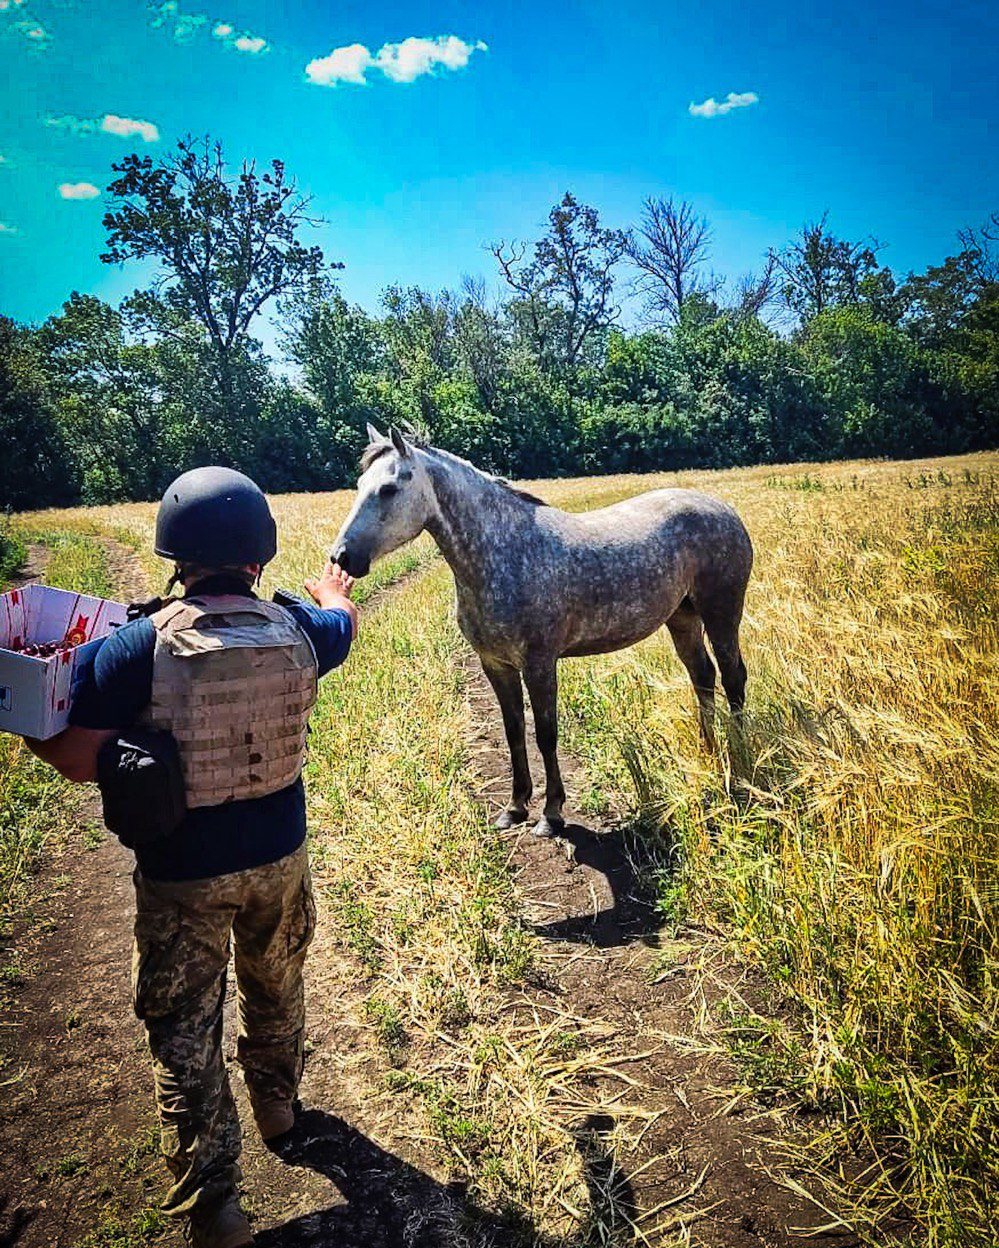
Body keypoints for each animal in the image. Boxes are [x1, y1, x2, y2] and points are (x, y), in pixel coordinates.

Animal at [332, 426, 754, 838]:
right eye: (360, 483)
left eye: (389, 488)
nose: (341, 557)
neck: (504, 553)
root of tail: (724, 509)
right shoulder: (496, 665)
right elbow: (514, 730)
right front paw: (515, 807)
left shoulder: (539, 664)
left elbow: (545, 734)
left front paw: (551, 815)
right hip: (682, 618)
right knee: (702, 676)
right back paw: (706, 750)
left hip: (721, 613)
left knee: (733, 677)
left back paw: (739, 760)